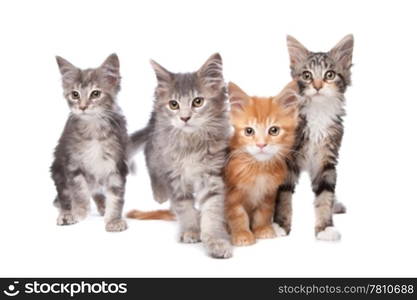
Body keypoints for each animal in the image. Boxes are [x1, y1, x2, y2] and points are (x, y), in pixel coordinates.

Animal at [50, 54, 128, 232]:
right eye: (75, 94)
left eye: (96, 93)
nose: (83, 106)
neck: (93, 129)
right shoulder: (72, 163)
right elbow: (79, 189)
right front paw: (80, 211)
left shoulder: (117, 163)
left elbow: (116, 194)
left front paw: (114, 219)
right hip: (58, 168)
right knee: (64, 195)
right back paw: (66, 213)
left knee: (97, 191)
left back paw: (103, 206)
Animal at [130, 53, 232, 258]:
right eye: (173, 104)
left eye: (198, 101)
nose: (185, 118)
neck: (191, 144)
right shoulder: (175, 176)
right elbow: (184, 207)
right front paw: (191, 231)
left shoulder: (213, 174)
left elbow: (212, 210)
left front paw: (216, 241)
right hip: (156, 144)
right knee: (150, 158)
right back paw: (159, 194)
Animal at [226, 82, 298, 246]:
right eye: (249, 131)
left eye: (274, 130)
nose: (261, 144)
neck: (258, 168)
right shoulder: (231, 195)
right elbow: (238, 215)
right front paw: (242, 235)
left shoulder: (269, 193)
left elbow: (263, 213)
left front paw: (262, 230)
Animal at [274, 35, 352, 241]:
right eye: (307, 75)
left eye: (329, 75)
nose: (317, 86)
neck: (318, 111)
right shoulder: (287, 159)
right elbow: (283, 194)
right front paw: (279, 225)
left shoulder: (326, 159)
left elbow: (325, 194)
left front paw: (325, 227)